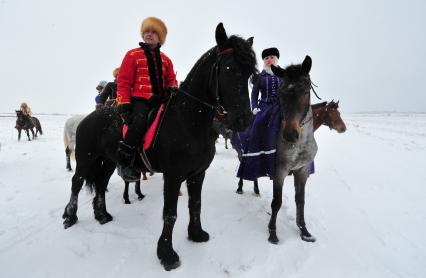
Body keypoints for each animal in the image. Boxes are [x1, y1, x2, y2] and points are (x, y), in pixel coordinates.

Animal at [62, 22, 256, 270]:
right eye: (229, 68)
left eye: (250, 74)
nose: (244, 120)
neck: (188, 119)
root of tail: (86, 119)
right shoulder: (173, 176)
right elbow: (170, 213)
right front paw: (167, 254)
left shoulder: (198, 174)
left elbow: (196, 204)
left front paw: (196, 234)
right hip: (86, 158)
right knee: (76, 183)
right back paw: (70, 216)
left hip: (108, 161)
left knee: (100, 184)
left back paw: (102, 215)